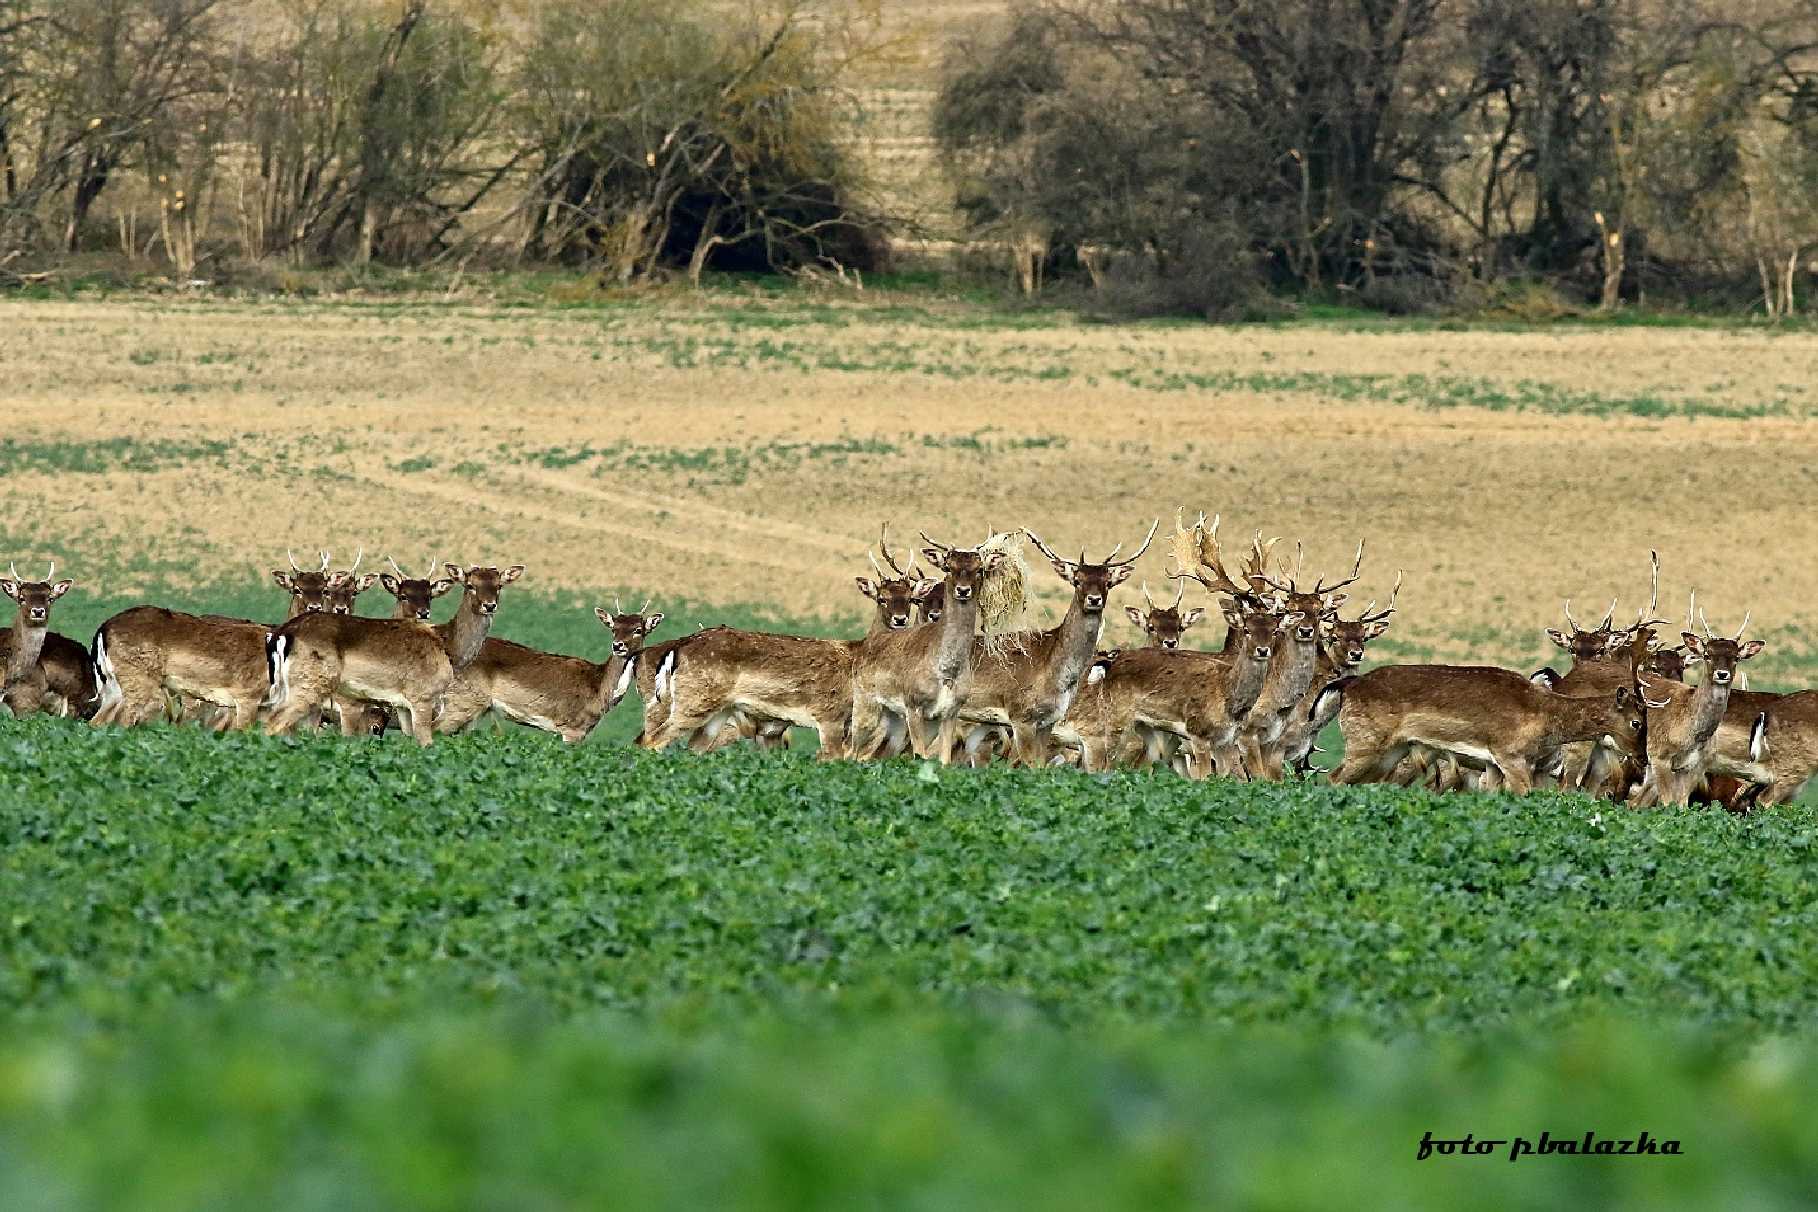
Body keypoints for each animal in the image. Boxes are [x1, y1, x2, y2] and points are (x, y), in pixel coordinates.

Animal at [269, 563, 527, 745]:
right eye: (470, 585)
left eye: (499, 585)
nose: (489, 605)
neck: (448, 647)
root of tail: (283, 633)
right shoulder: (422, 697)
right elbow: (427, 742)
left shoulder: (401, 705)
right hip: (310, 685)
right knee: (275, 724)